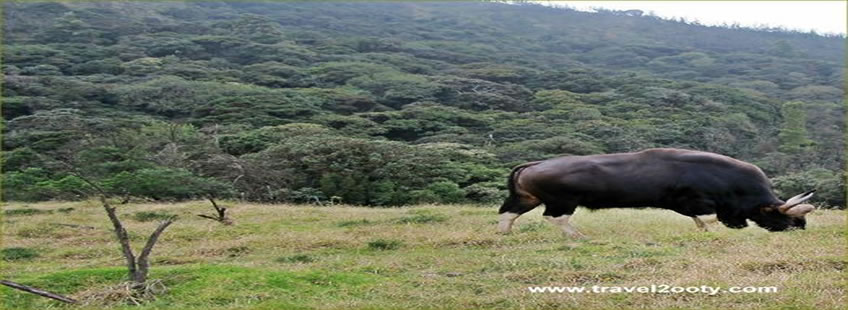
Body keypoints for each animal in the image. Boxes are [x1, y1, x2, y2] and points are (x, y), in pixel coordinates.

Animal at [496, 148, 816, 237]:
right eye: (783, 215)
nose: (799, 227)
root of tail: (537, 163)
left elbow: (703, 221)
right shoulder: (694, 201)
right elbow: (708, 218)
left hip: (527, 198)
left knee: (508, 213)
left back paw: (505, 234)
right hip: (563, 201)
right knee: (556, 218)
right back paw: (577, 236)